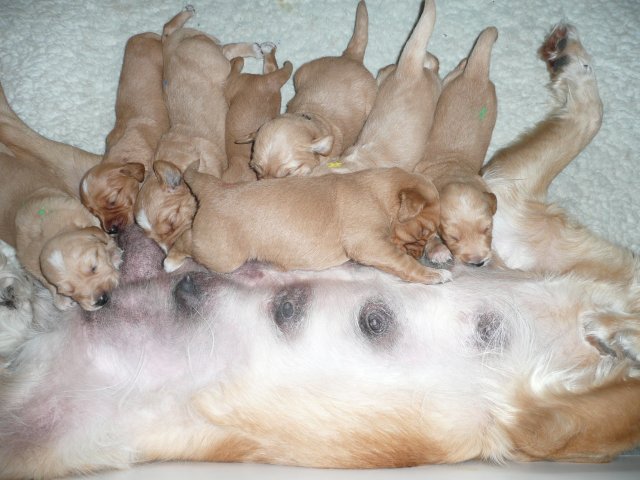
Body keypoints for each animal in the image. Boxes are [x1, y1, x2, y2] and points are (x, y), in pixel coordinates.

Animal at [413, 27, 499, 266]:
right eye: (452, 237)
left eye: (487, 229)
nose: (478, 263)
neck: (453, 170)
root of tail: (476, 75)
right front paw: (438, 250)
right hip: (451, 81)